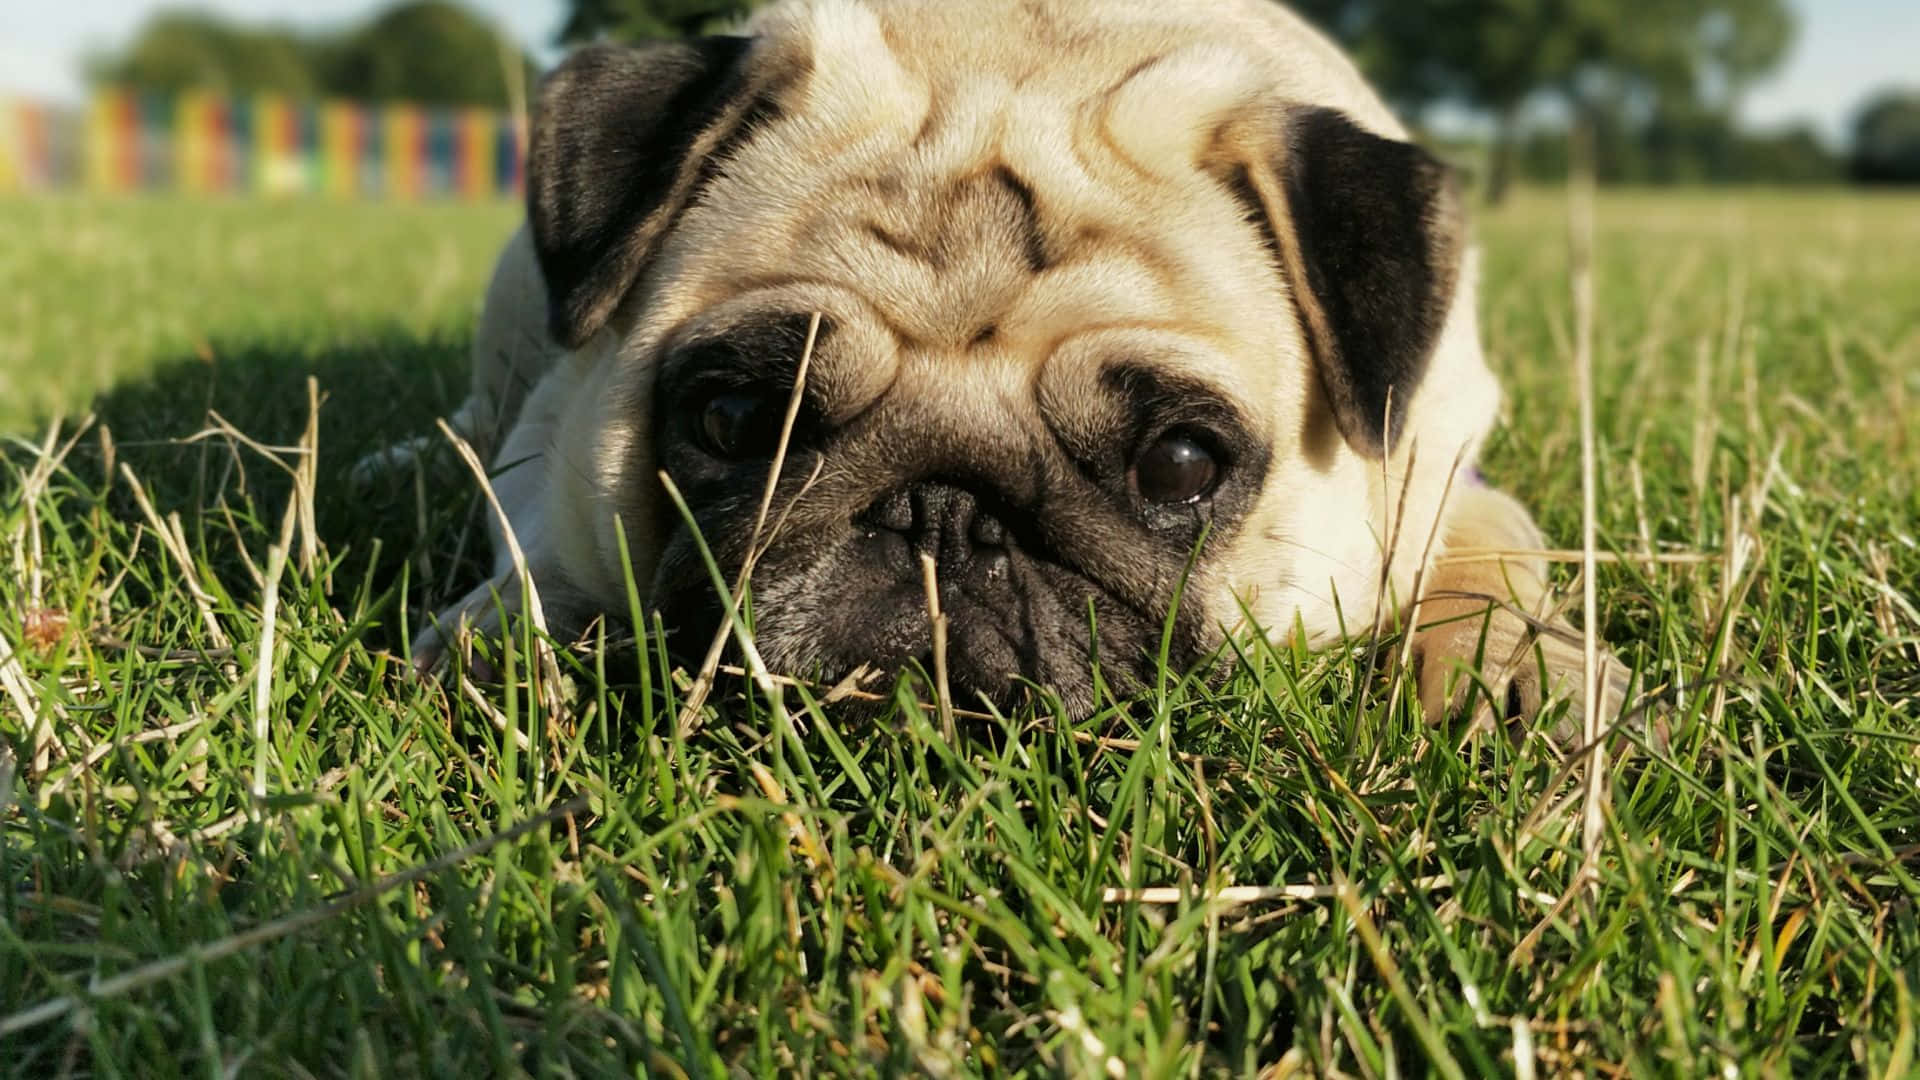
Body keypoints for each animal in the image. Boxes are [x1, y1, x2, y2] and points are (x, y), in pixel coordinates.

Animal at [385, 0, 1620, 734]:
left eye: (1180, 463)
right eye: (737, 419)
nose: (941, 510)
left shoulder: (1445, 460)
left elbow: (1487, 557)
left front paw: (1513, 671)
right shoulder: (547, 443)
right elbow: (541, 549)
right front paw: (510, 643)